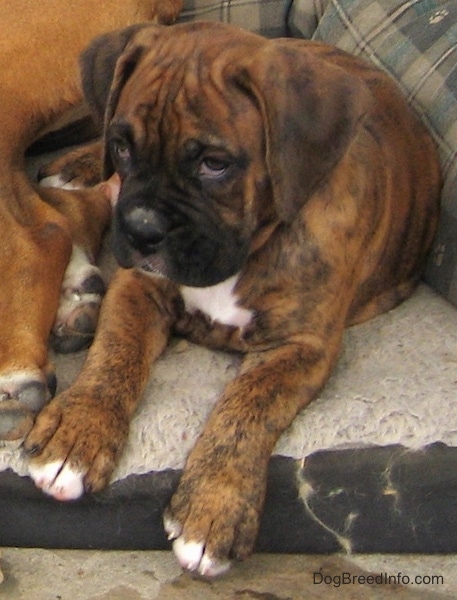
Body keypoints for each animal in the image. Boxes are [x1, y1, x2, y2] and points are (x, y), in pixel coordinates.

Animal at [25, 22, 442, 576]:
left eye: (215, 164)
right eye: (125, 147)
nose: (140, 230)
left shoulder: (301, 347)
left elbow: (247, 406)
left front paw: (211, 507)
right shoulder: (138, 286)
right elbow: (115, 357)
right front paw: (76, 434)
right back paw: (74, 169)